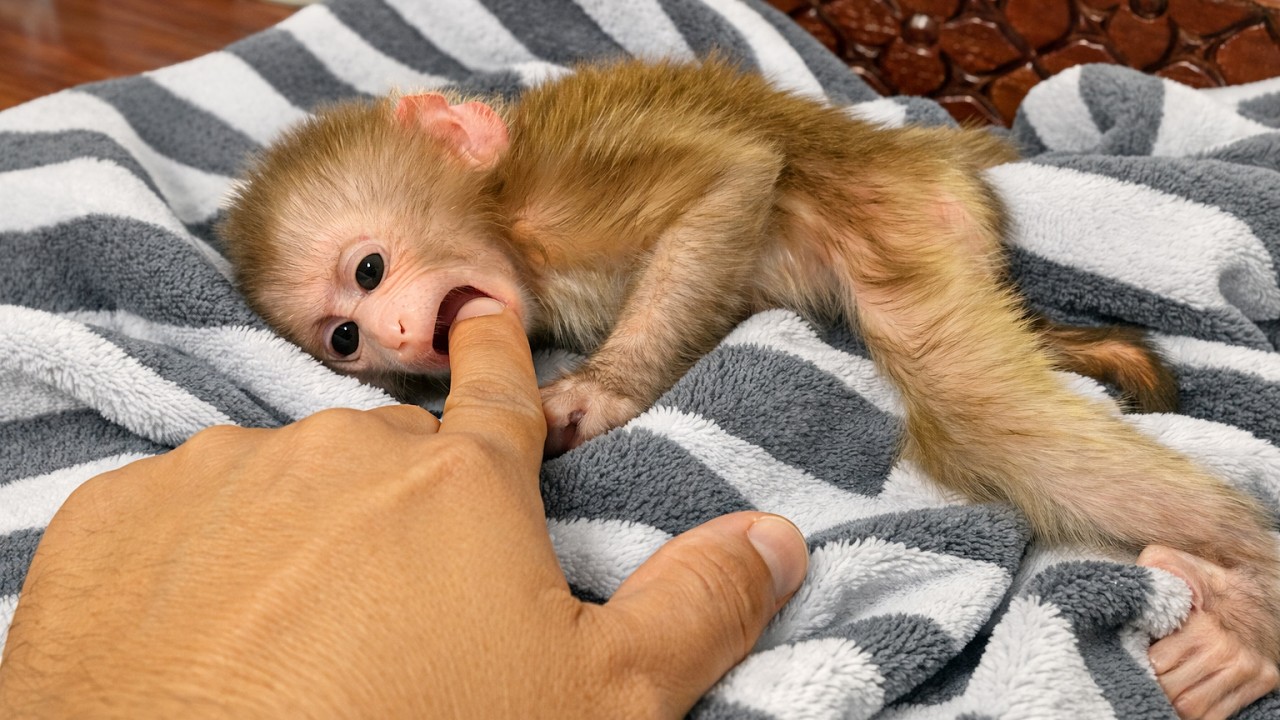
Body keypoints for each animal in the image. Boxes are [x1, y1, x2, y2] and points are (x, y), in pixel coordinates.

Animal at [218, 58, 1280, 714]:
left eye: (369, 270)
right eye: (346, 338)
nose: (401, 336)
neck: (505, 217)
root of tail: (943, 159)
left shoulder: (567, 197)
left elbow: (727, 178)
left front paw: (600, 393)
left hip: (897, 211)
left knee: (982, 410)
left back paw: (1249, 612)